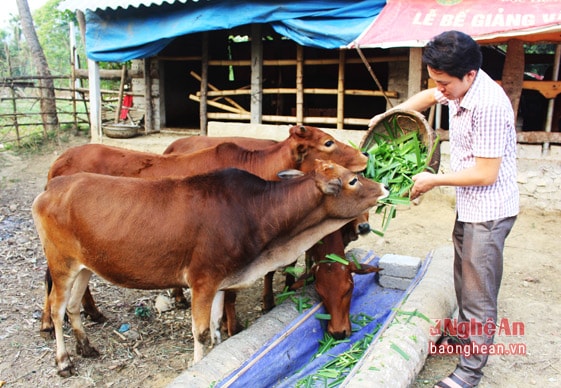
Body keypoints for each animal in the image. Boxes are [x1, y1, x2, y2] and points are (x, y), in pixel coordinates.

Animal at [32, 159, 388, 374]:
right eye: (353, 180)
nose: (385, 187)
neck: (254, 211)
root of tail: (53, 186)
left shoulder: (219, 282)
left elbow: (217, 327)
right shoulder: (202, 281)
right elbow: (201, 332)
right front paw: (197, 364)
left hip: (85, 267)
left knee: (74, 307)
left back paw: (86, 347)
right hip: (62, 265)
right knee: (57, 310)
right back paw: (64, 361)